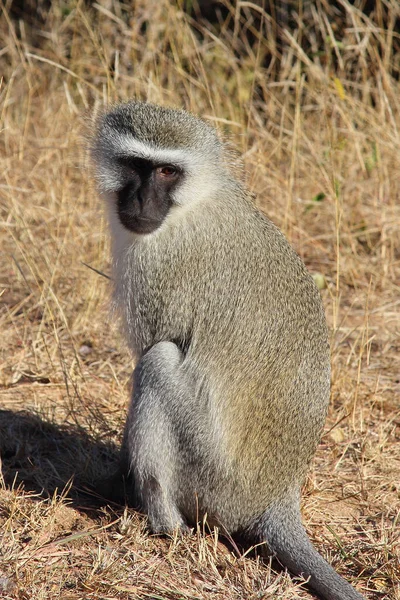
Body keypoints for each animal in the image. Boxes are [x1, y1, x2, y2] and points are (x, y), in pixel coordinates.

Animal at [91, 101, 366, 596]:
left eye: (167, 171)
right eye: (136, 166)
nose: (142, 202)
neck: (195, 201)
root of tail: (278, 495)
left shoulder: (157, 266)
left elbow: (150, 350)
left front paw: (118, 480)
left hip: (212, 474)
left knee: (159, 361)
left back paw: (165, 524)